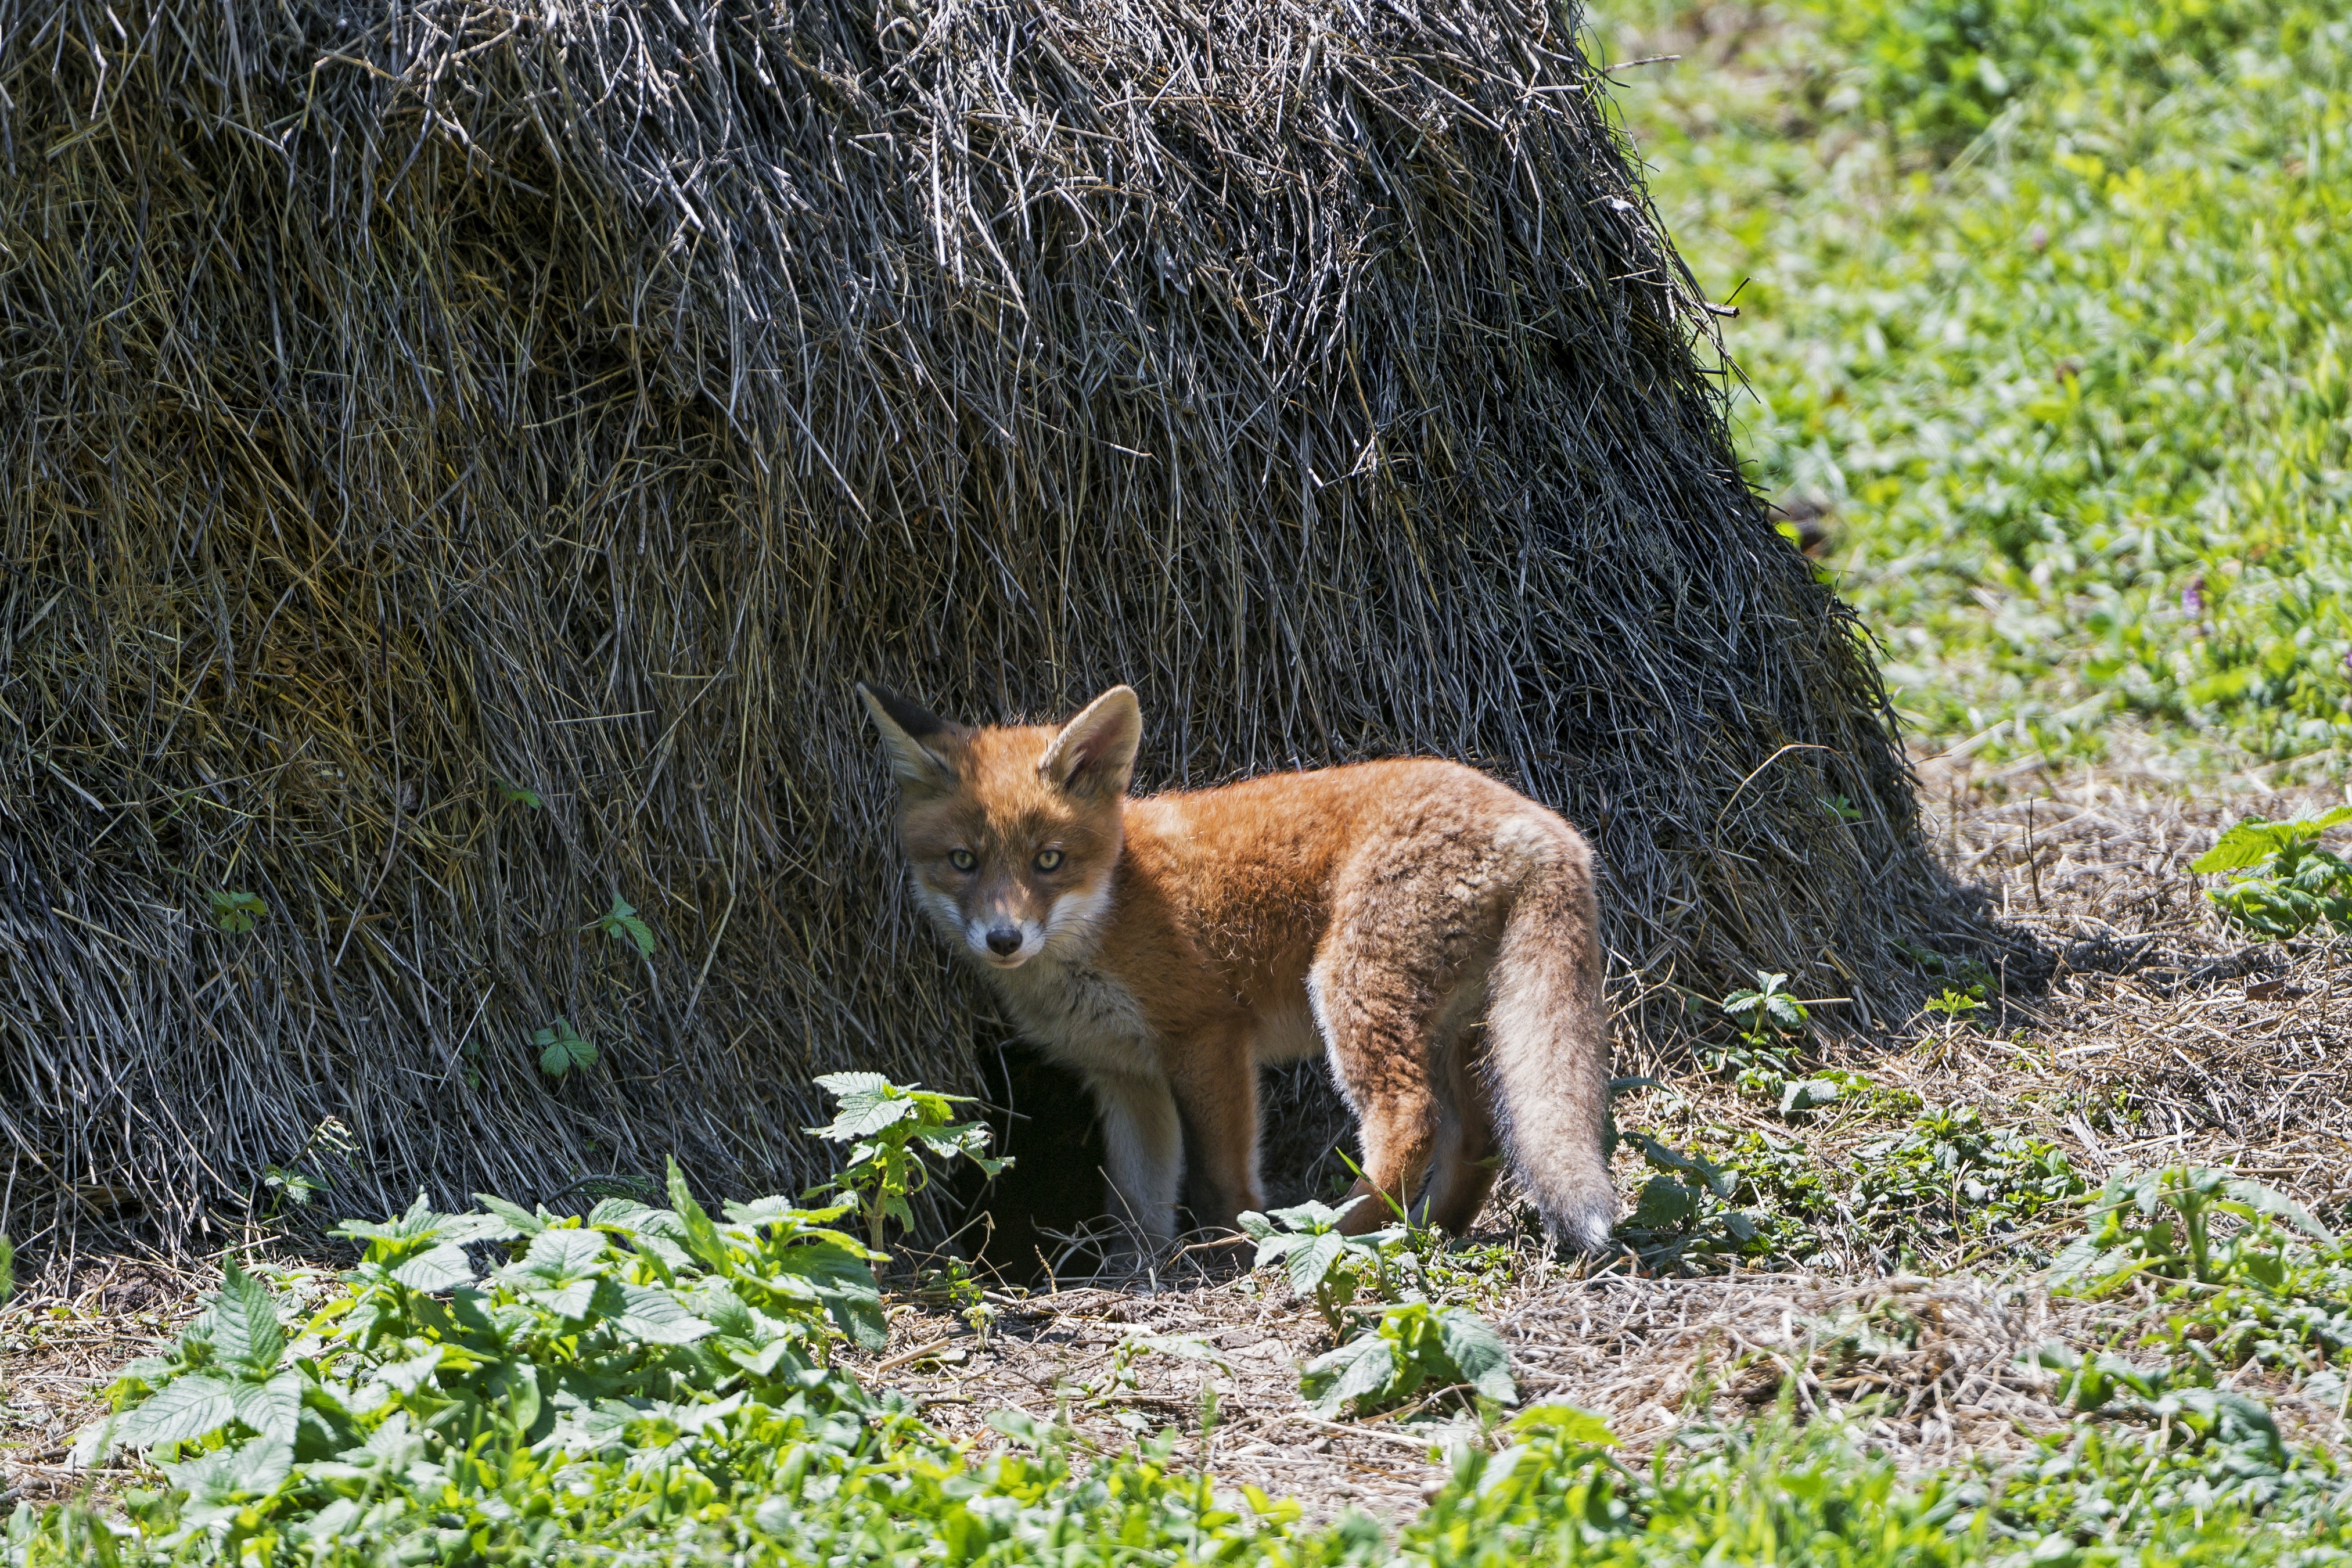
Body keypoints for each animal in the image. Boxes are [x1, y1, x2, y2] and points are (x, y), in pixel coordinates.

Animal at [855, 681, 1617, 1256]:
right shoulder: (1126, 1077)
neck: (1111, 907)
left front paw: (1228, 1249)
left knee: (1410, 1121)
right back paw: (1431, 1233)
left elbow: (1220, 1180)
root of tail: (1544, 824)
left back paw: (1330, 1234)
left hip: (1351, 997)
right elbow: (1136, 1202)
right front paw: (1139, 1274)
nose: (1004, 939)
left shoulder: (1208, 1036)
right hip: (1450, 1029)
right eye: (963, 861)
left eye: (1049, 860)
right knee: (1479, 1138)